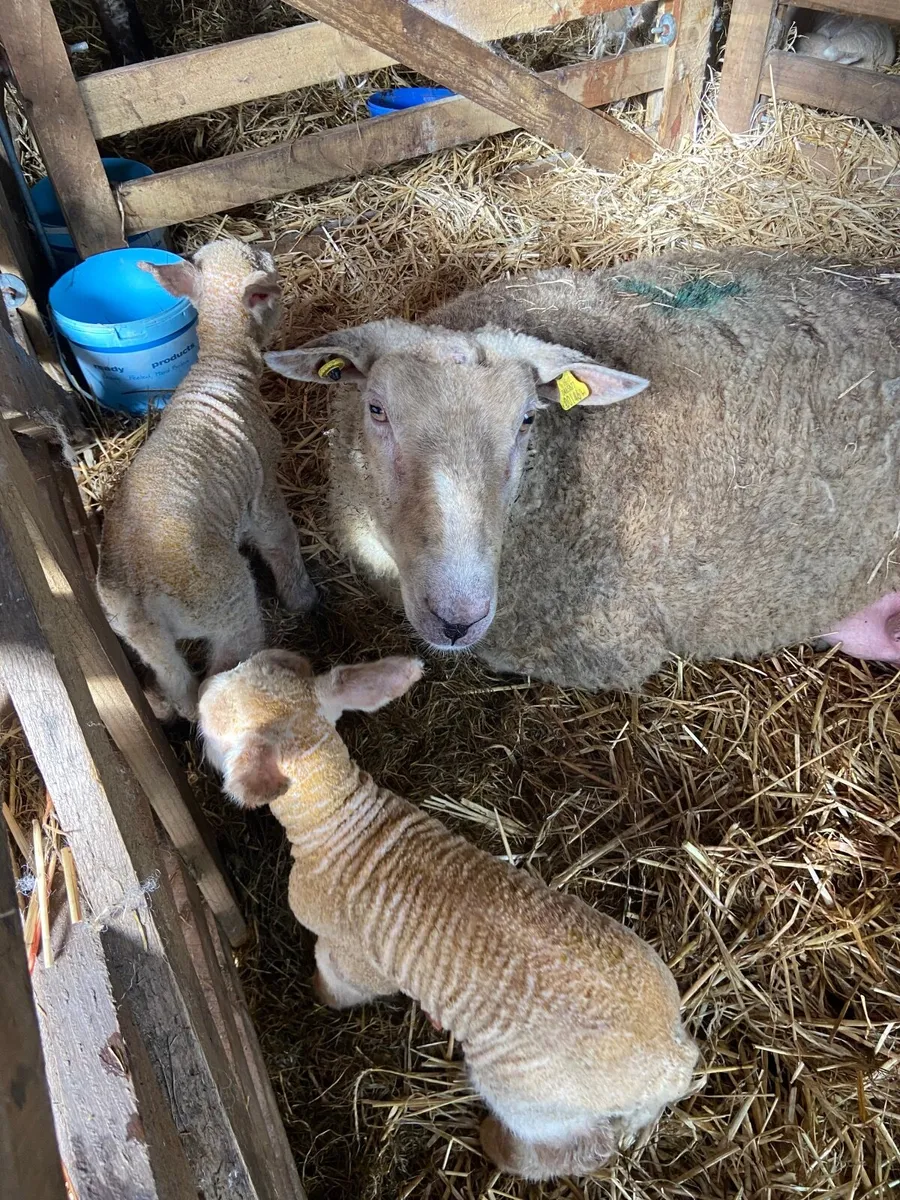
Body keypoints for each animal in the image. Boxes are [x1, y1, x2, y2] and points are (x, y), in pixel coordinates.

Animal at [98, 240, 316, 721]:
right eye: (266, 268)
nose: (269, 250)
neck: (221, 365)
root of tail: (141, 591)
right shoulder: (263, 485)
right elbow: (280, 539)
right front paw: (304, 598)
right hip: (226, 601)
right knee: (216, 674)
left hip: (138, 634)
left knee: (176, 684)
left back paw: (164, 705)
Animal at [198, 648, 701, 1181]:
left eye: (209, 728)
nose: (202, 688)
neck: (337, 819)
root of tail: (672, 1062)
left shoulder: (353, 955)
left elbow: (342, 982)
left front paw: (319, 994)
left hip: (529, 1097)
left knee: (580, 1148)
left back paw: (498, 1144)